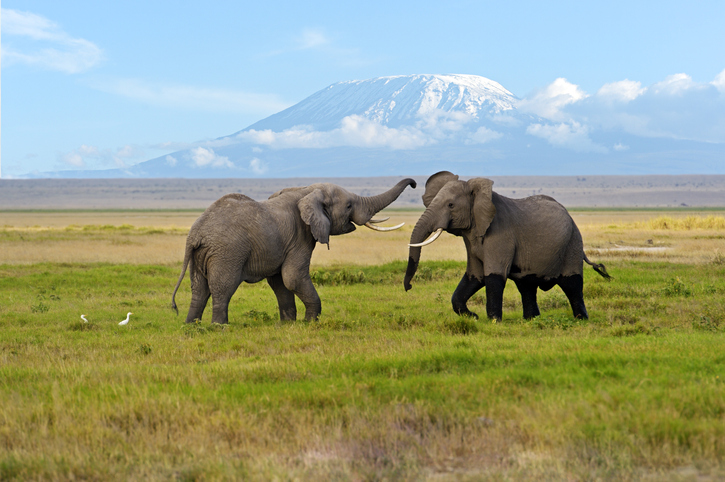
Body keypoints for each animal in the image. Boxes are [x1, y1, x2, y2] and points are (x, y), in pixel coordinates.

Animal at [172, 178, 416, 324]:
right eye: (348, 206)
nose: (414, 183)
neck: (306, 190)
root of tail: (195, 234)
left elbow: (279, 282)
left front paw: (288, 324)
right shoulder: (300, 237)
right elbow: (293, 277)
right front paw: (311, 322)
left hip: (200, 255)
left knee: (199, 289)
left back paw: (192, 326)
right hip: (227, 252)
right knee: (223, 287)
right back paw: (220, 327)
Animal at [403, 171, 610, 321]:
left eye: (451, 205)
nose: (409, 287)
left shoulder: (500, 234)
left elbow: (493, 276)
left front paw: (493, 321)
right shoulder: (471, 237)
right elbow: (474, 276)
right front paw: (473, 317)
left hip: (573, 243)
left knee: (572, 284)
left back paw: (581, 319)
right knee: (527, 286)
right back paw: (531, 320)